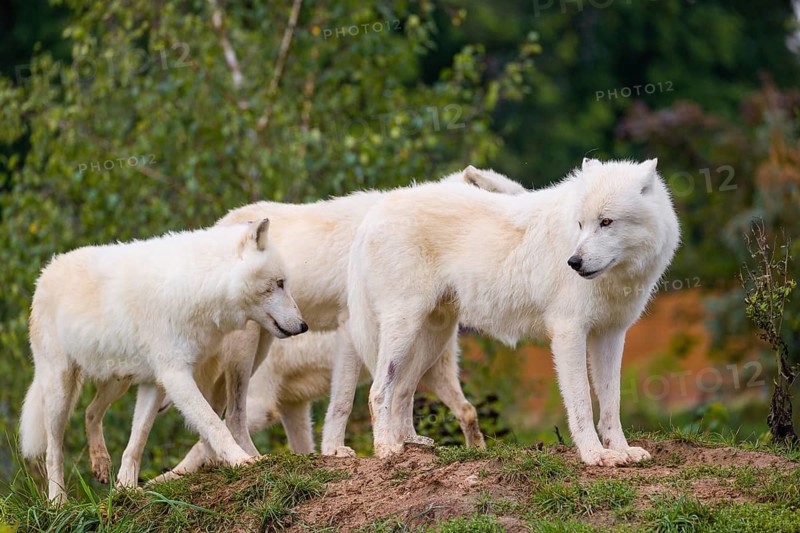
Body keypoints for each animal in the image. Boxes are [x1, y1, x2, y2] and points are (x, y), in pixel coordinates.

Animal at [20, 220, 307, 502]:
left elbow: (137, 441)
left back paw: (100, 463)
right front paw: (241, 461)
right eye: (280, 283)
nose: (304, 326)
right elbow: (214, 424)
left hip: (118, 382)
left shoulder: (154, 383)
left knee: (90, 412)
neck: (199, 285)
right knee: (53, 452)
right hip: (60, 390)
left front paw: (126, 489)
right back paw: (58, 502)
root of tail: (47, 270)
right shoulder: (175, 376)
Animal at [84, 167, 526, 482]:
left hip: (270, 345)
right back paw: (248, 461)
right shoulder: (350, 328)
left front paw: (409, 443)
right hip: (248, 357)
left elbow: (406, 394)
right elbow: (346, 399)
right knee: (231, 416)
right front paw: (339, 451)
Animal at [341, 158, 680, 464]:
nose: (574, 262)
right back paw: (387, 449)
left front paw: (622, 451)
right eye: (581, 224)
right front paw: (595, 455)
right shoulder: (568, 333)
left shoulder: (611, 334)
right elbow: (582, 402)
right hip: (403, 330)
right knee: (378, 391)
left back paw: (412, 445)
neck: (618, 278)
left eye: (606, 222)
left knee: (402, 391)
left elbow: (612, 402)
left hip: (431, 339)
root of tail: (375, 211)